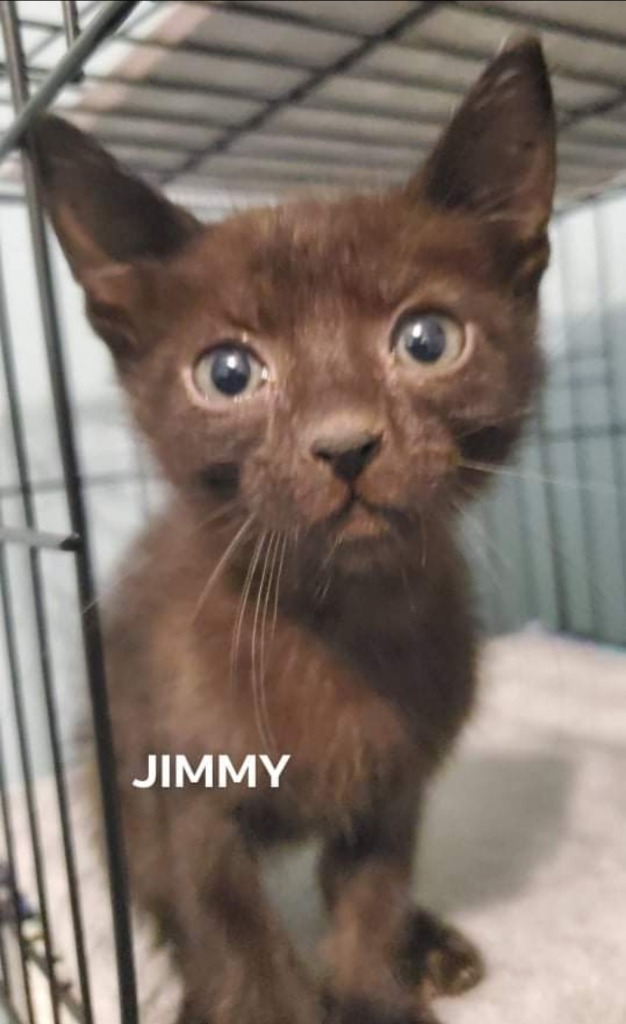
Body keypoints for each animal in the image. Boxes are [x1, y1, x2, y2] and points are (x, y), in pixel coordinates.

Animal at [31, 36, 557, 1024]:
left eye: (427, 340)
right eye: (229, 373)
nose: (344, 445)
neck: (335, 622)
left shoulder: (393, 789)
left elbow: (369, 902)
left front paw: (377, 994)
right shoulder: (188, 801)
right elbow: (235, 940)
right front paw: (256, 993)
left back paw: (431, 947)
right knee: (161, 899)